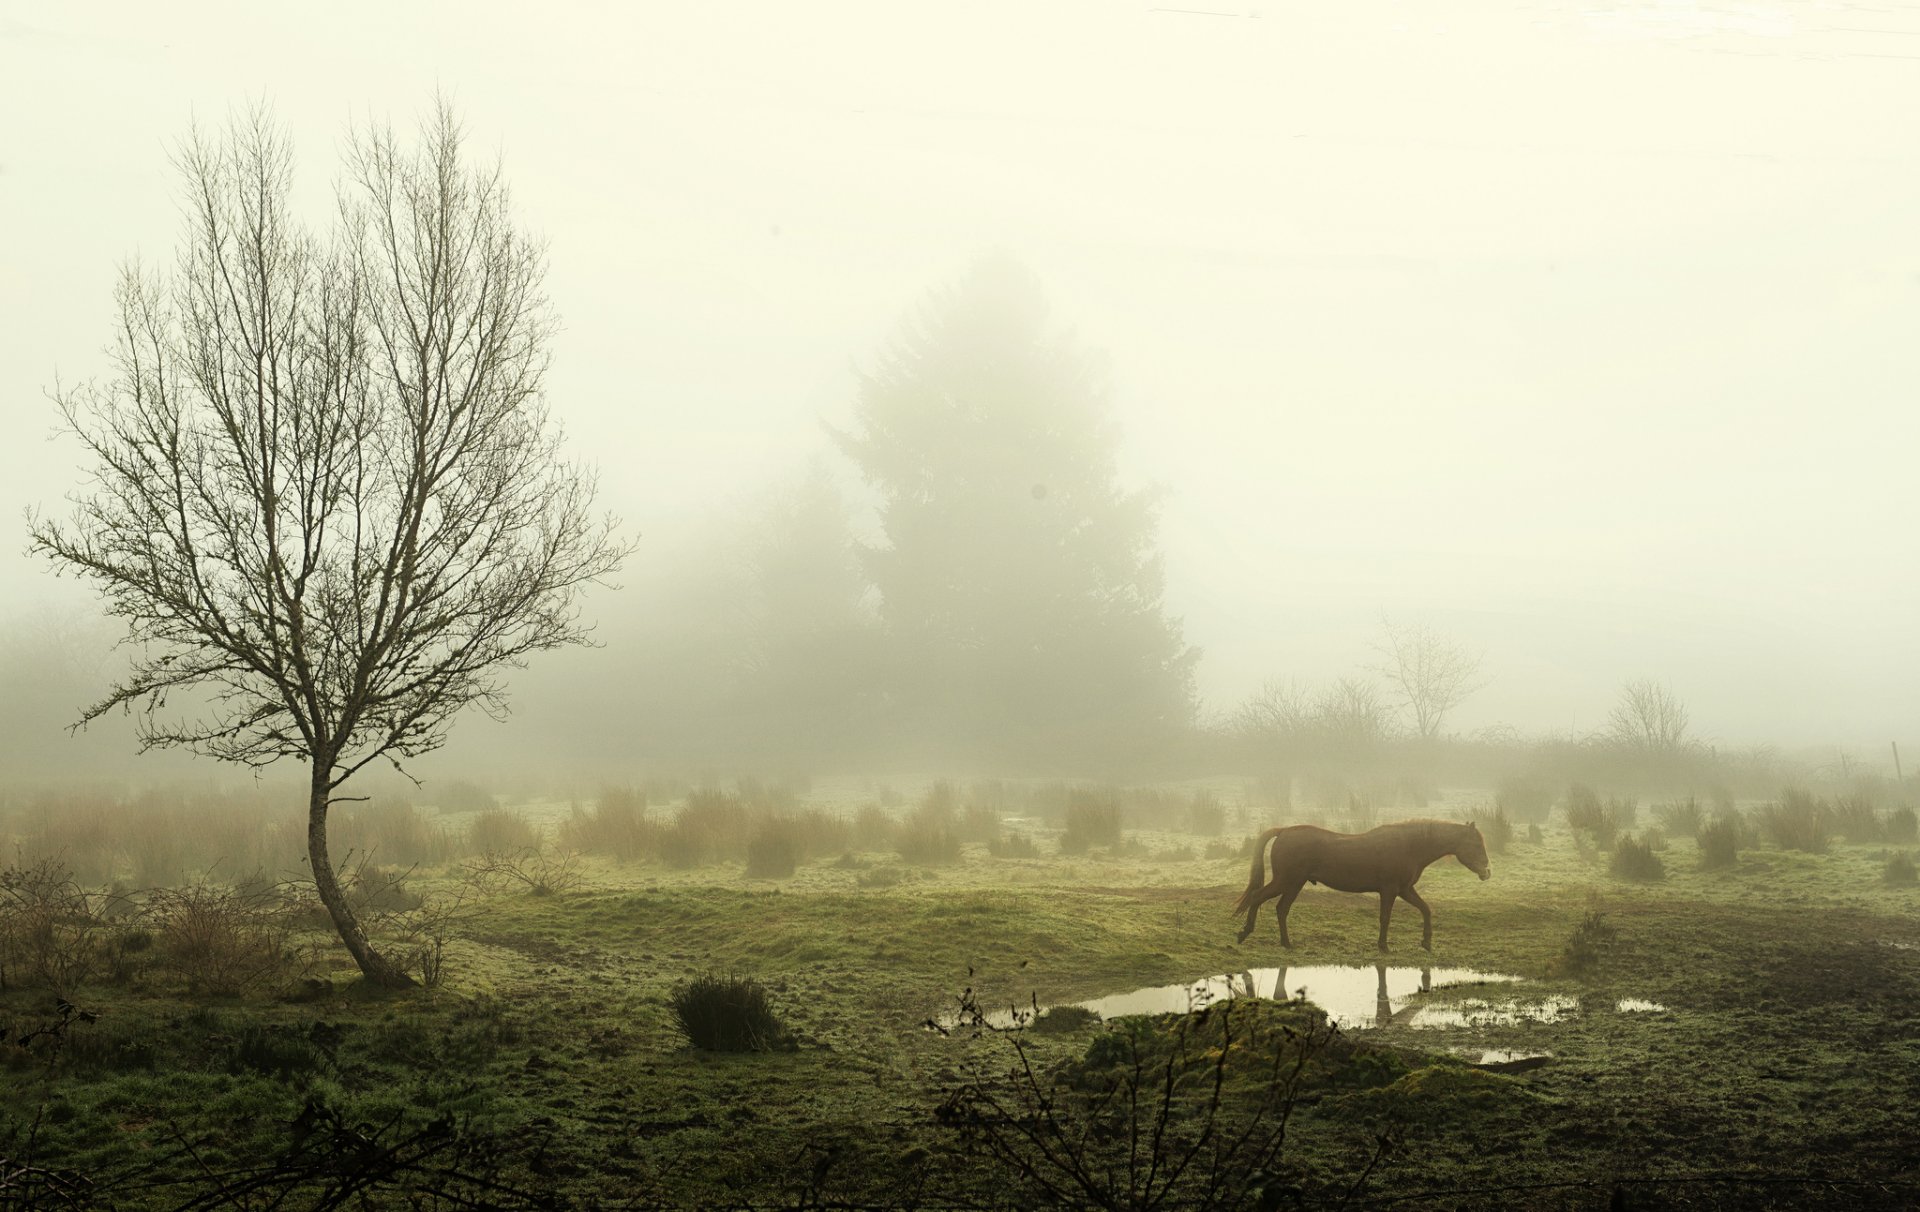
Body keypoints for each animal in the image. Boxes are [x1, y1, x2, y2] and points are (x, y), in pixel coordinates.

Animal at [1232, 819, 1491, 951]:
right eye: (1477, 844)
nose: (1487, 872)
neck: (1410, 845)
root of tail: (1284, 831)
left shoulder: (1405, 890)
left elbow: (1426, 909)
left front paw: (1426, 942)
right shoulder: (1390, 890)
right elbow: (1385, 918)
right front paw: (1383, 946)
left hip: (1293, 883)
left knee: (1280, 909)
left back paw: (1285, 942)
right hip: (1288, 881)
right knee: (1260, 898)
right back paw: (1246, 933)